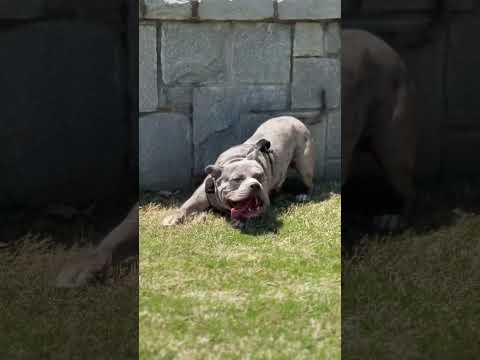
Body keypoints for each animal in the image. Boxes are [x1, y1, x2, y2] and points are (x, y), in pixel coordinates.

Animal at [163, 116, 316, 226]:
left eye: (260, 176)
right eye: (237, 180)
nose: (255, 185)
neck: (236, 159)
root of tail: (293, 118)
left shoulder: (263, 203)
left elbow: (253, 211)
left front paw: (240, 220)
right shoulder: (199, 197)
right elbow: (186, 206)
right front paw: (173, 216)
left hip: (305, 166)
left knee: (310, 183)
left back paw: (304, 195)